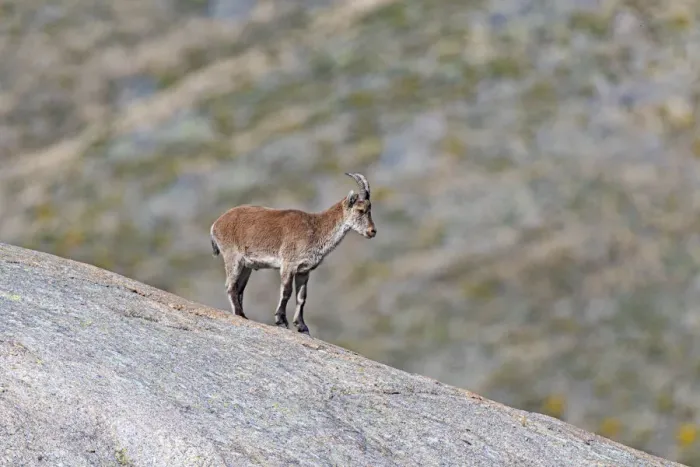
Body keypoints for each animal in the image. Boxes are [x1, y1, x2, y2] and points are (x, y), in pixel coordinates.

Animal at [209, 172, 377, 334]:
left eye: (370, 210)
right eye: (360, 210)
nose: (372, 231)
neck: (316, 228)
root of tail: (216, 224)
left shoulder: (304, 271)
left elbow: (301, 298)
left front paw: (302, 326)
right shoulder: (288, 264)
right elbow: (286, 291)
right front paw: (281, 320)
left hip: (246, 266)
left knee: (239, 288)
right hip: (233, 257)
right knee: (230, 285)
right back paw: (240, 314)